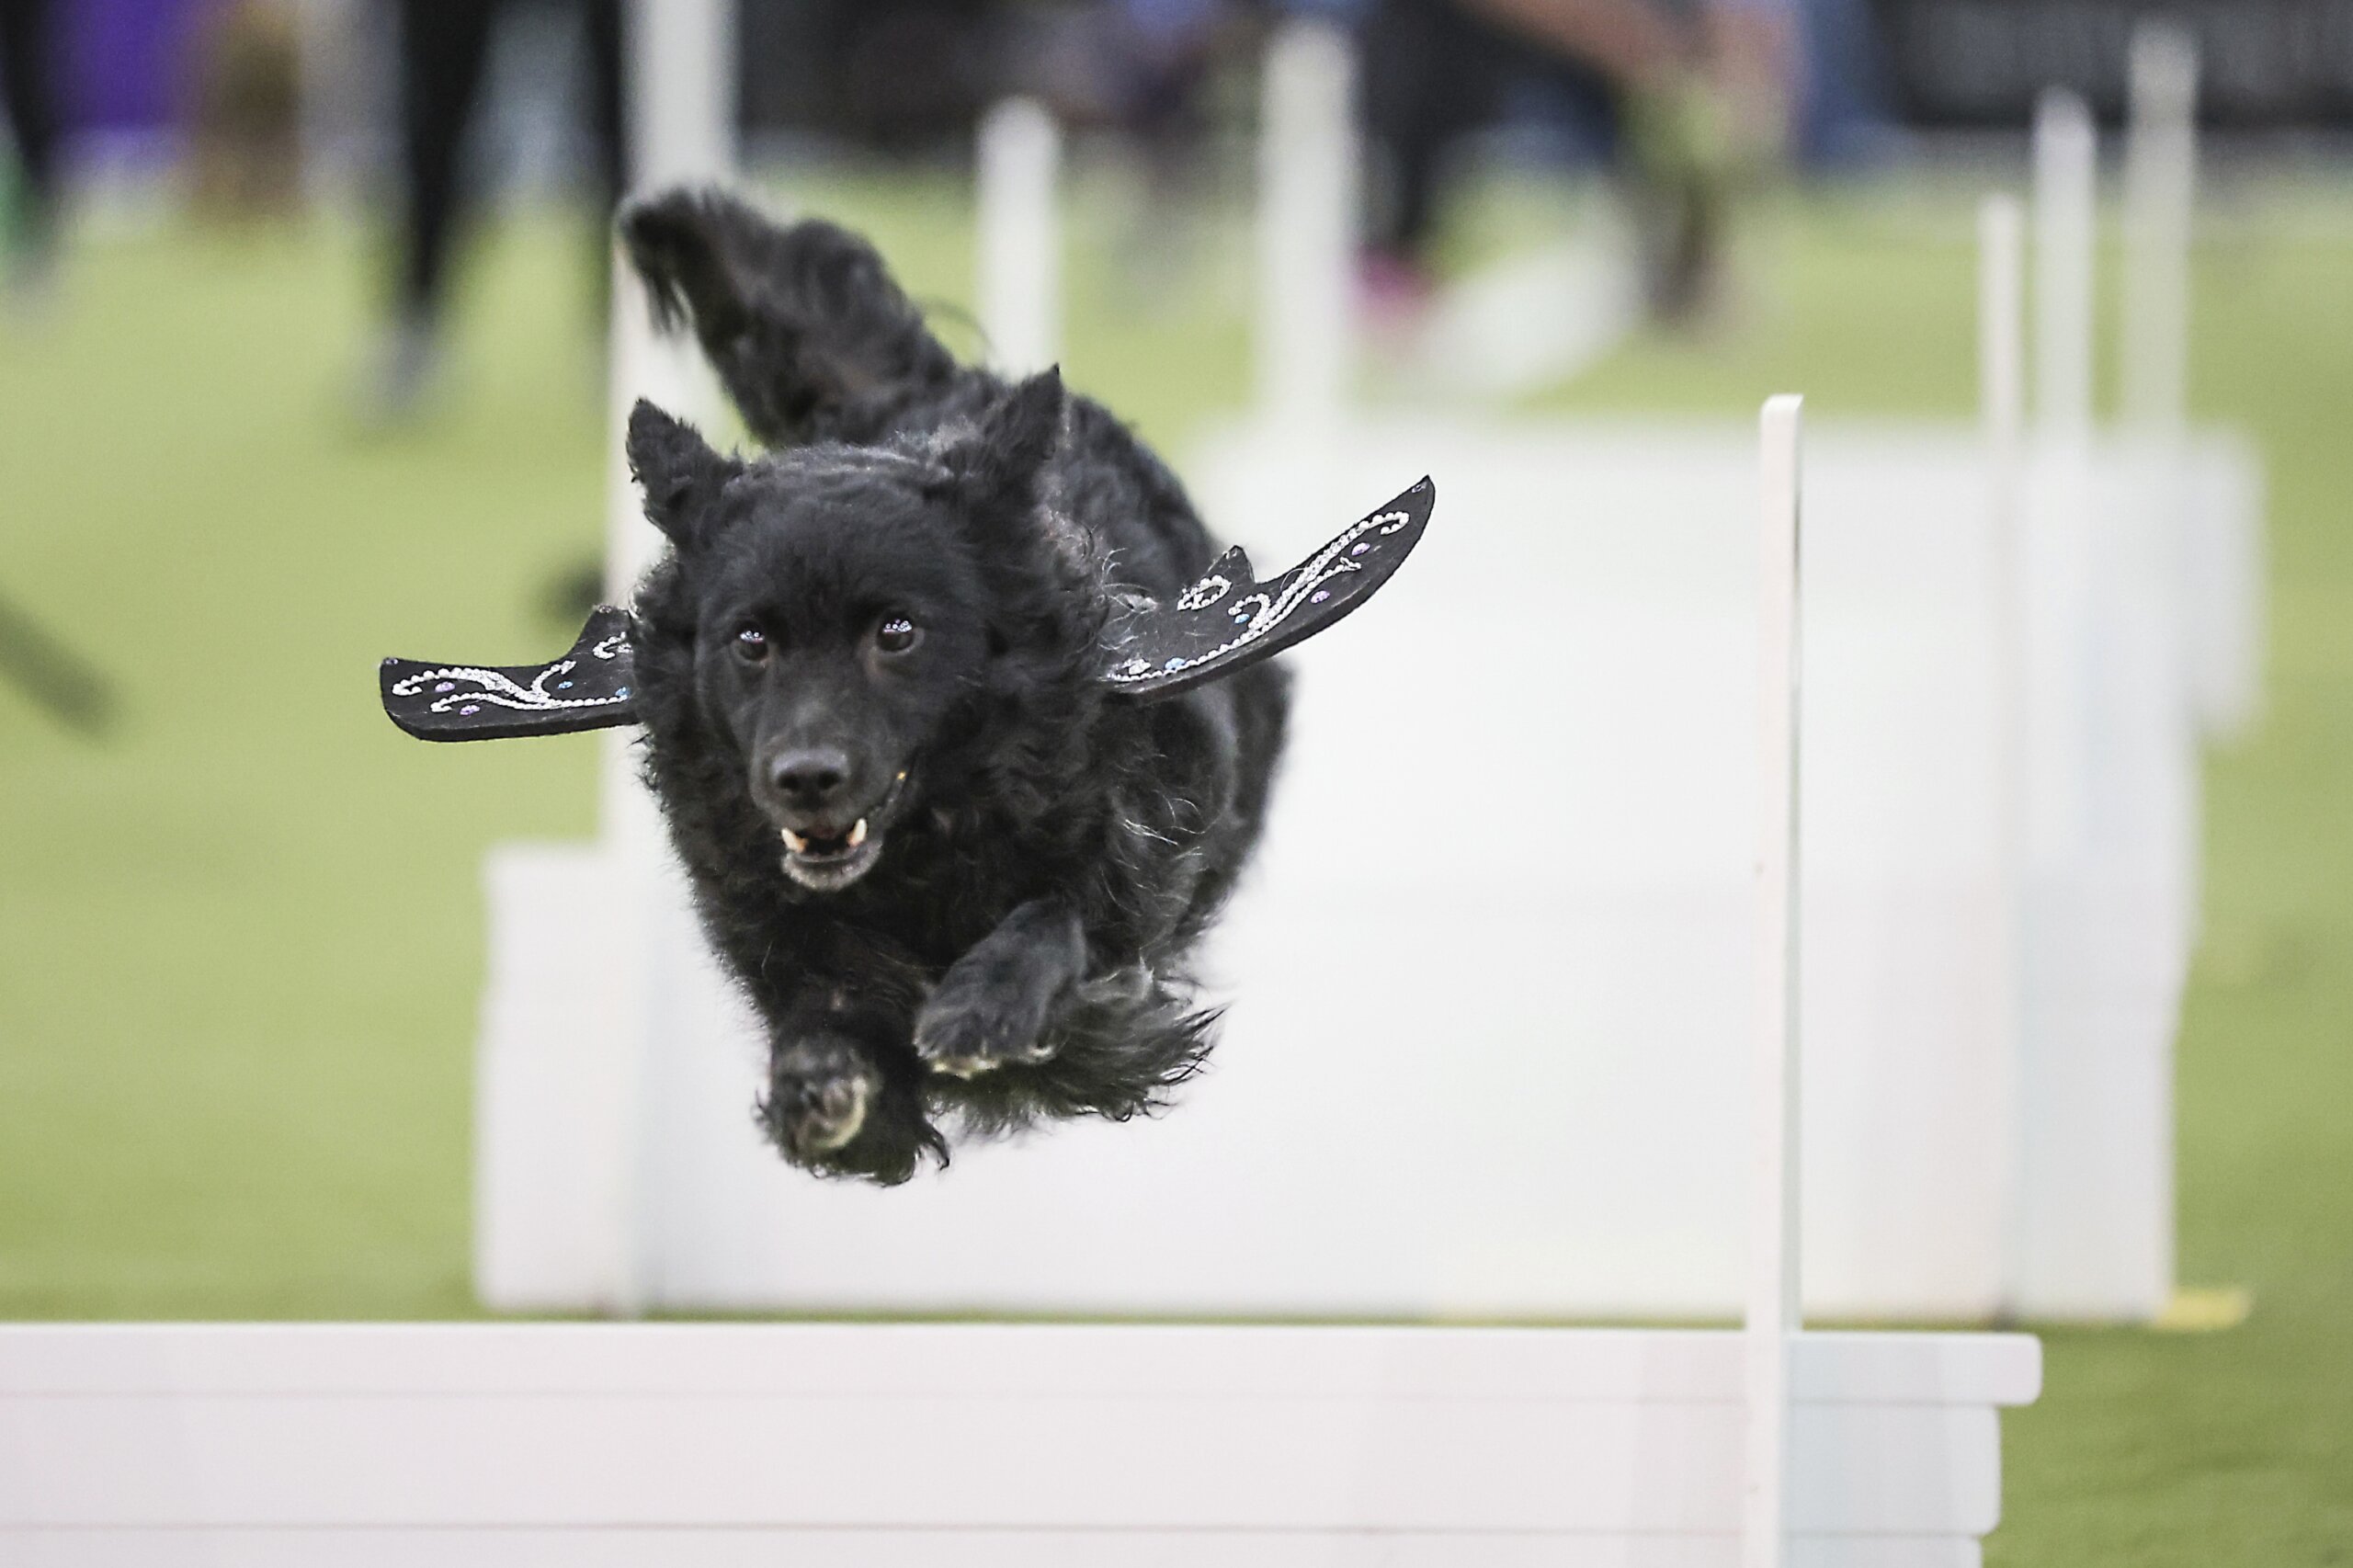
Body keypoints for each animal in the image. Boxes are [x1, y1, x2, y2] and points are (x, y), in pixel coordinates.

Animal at [616, 189, 1289, 1176]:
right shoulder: (768, 917)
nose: (804, 779)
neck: (923, 844)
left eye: (897, 633)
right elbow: (824, 1010)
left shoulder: (1134, 865)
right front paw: (820, 1079)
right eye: (751, 641)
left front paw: (985, 1006)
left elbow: (1062, 917)